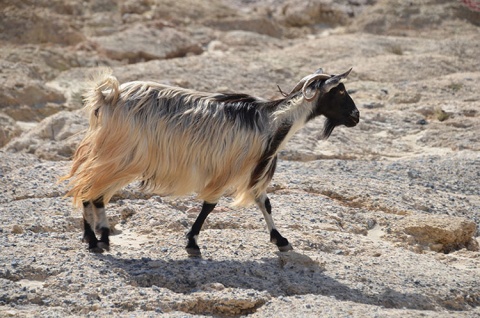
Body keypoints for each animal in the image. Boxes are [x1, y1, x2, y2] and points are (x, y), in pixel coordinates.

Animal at [60, 67, 358, 256]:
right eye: (340, 92)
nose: (356, 117)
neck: (272, 121)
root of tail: (107, 96)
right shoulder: (230, 168)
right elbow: (210, 205)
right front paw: (192, 243)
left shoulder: (251, 171)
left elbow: (265, 203)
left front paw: (281, 240)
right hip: (119, 155)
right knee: (87, 188)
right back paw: (94, 240)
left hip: (115, 157)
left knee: (94, 192)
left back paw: (99, 237)